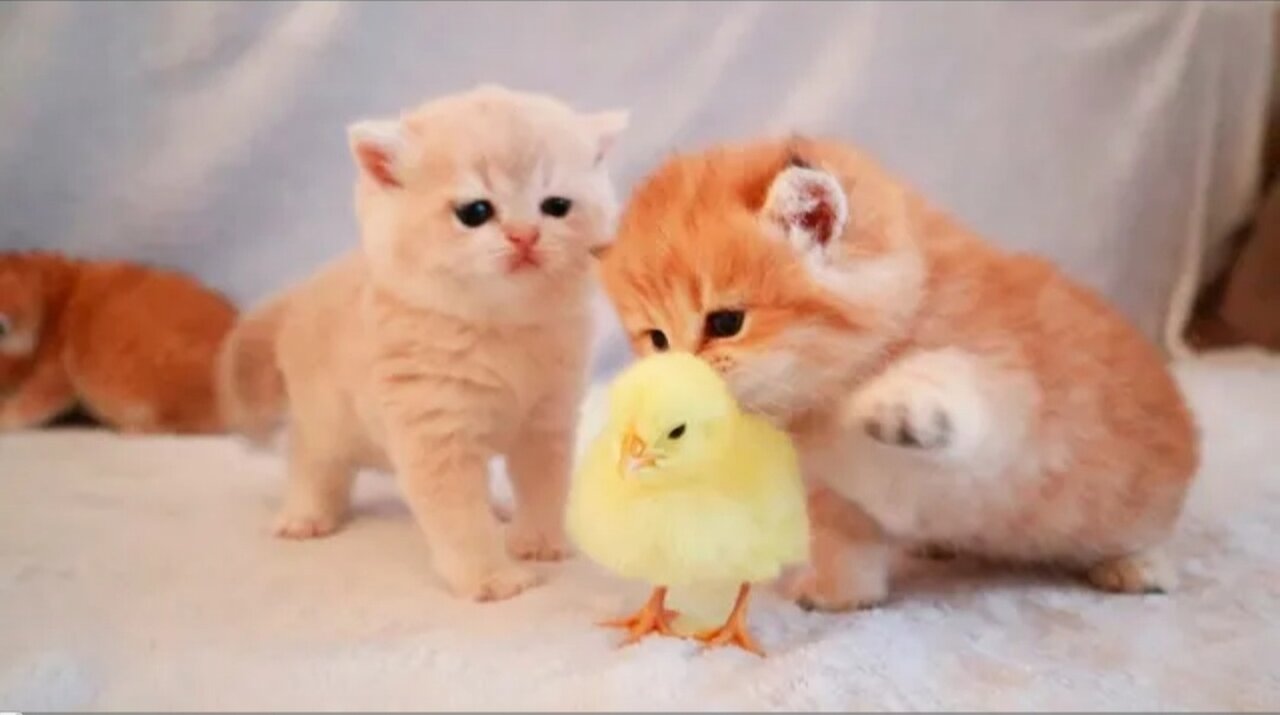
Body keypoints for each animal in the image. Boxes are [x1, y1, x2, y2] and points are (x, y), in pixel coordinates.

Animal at [221, 83, 629, 603]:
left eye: (556, 206)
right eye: (476, 212)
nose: (525, 236)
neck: (501, 329)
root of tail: (303, 291)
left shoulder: (548, 420)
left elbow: (545, 487)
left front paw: (538, 541)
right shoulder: (436, 433)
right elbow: (459, 519)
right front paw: (490, 578)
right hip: (326, 418)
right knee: (312, 460)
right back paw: (306, 515)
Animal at [599, 135, 1198, 608]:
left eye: (726, 322)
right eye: (656, 340)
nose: (673, 388)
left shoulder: (1012, 398)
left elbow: (956, 378)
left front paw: (895, 402)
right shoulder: (832, 491)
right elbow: (845, 541)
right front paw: (839, 593)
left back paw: (1138, 567)